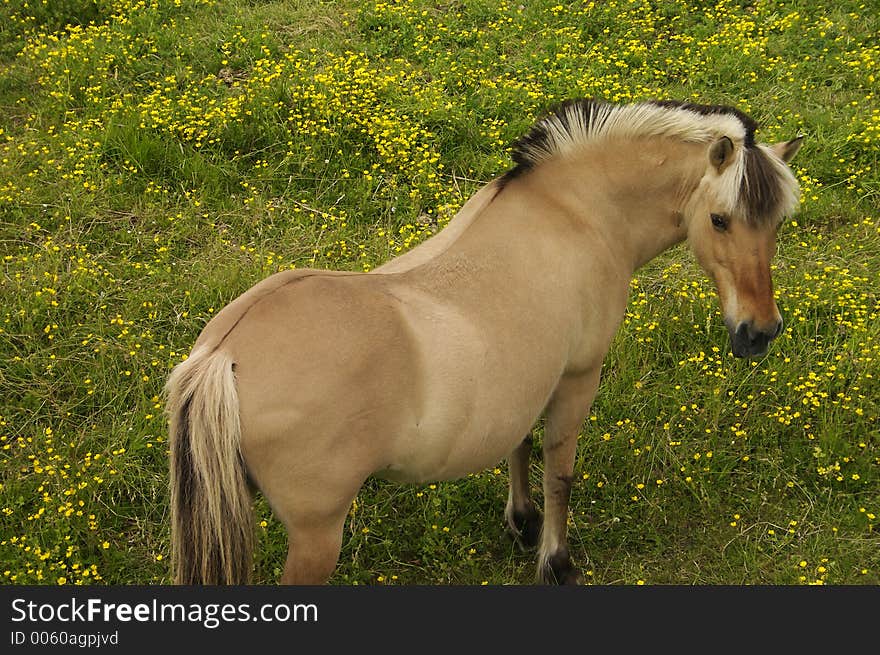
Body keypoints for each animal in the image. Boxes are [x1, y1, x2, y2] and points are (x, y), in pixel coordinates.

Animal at [165, 97, 804, 584]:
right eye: (720, 219)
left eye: (778, 222)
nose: (759, 332)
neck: (572, 210)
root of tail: (223, 356)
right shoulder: (577, 377)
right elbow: (559, 471)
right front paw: (554, 560)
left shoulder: (527, 380)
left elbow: (520, 446)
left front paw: (522, 522)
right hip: (317, 536)